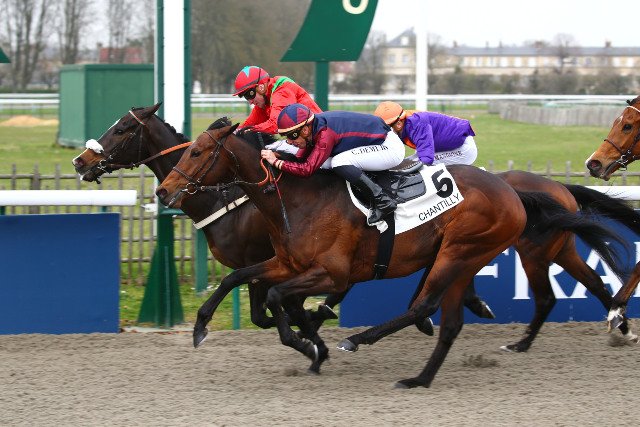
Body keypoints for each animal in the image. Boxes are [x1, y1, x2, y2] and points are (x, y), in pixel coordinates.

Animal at [155, 125, 627, 388]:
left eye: (197, 151)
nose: (163, 189)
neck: (299, 197)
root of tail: (513, 192)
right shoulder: (286, 263)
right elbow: (238, 278)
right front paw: (200, 327)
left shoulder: (332, 273)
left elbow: (275, 298)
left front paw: (309, 346)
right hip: (468, 257)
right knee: (450, 319)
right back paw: (420, 376)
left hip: (461, 251)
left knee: (426, 305)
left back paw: (361, 339)